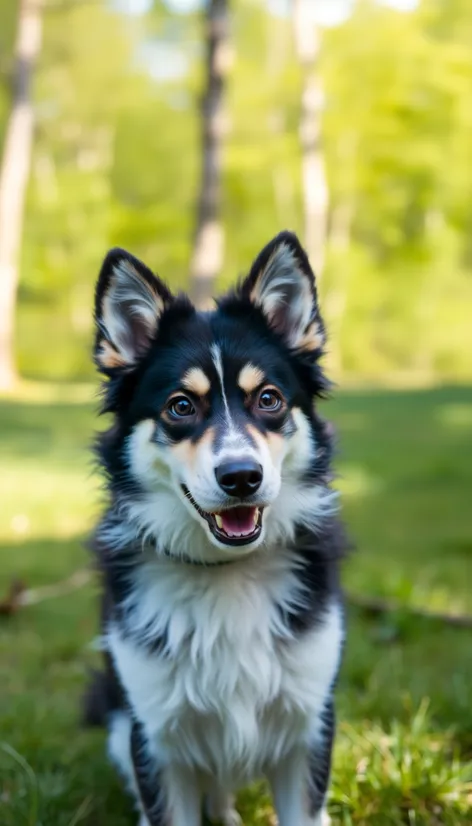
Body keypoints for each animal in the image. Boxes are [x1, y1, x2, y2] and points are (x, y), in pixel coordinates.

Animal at [85, 232, 346, 824]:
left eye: (269, 399)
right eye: (181, 406)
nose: (242, 477)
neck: (229, 573)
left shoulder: (309, 725)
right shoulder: (154, 737)